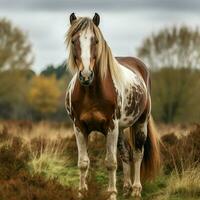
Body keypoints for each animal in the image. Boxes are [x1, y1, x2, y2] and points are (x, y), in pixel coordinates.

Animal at [65, 13, 161, 199]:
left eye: (95, 41)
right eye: (74, 41)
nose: (86, 75)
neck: (91, 92)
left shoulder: (111, 126)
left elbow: (110, 162)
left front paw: (111, 194)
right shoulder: (79, 127)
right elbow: (83, 163)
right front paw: (82, 193)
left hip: (140, 123)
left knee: (137, 154)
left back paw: (136, 189)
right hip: (121, 129)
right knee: (125, 154)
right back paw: (127, 188)